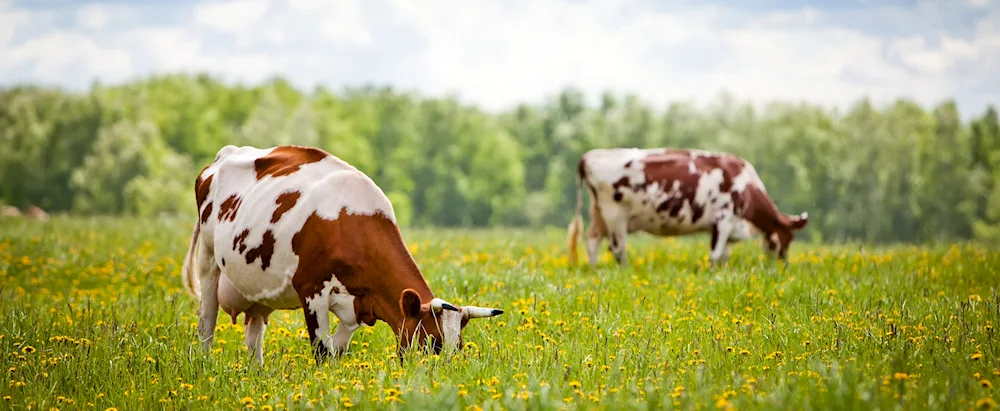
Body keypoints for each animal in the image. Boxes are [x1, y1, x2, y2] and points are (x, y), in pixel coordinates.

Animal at [181, 146, 504, 366]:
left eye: (457, 347)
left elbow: (337, 352)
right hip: (208, 261)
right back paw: (206, 362)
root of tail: (228, 153)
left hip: (257, 286)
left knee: (254, 333)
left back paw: (256, 372)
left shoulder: (358, 308)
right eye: (432, 344)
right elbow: (322, 353)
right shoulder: (311, 290)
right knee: (207, 322)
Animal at [568, 148, 808, 268]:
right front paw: (712, 274)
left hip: (599, 214)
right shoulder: (723, 218)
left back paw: (594, 269)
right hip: (615, 215)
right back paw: (624, 270)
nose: (783, 266)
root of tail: (589, 156)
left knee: (592, 239)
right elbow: (715, 253)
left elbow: (724, 255)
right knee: (617, 249)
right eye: (785, 240)